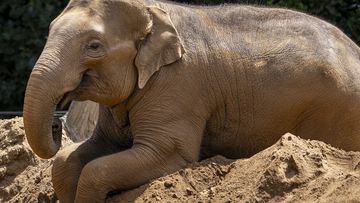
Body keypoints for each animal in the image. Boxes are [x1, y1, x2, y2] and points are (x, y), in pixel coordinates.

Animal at [23, 0, 360, 202]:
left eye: (93, 46)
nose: (56, 125)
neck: (151, 12)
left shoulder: (177, 86)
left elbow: (162, 156)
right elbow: (69, 160)